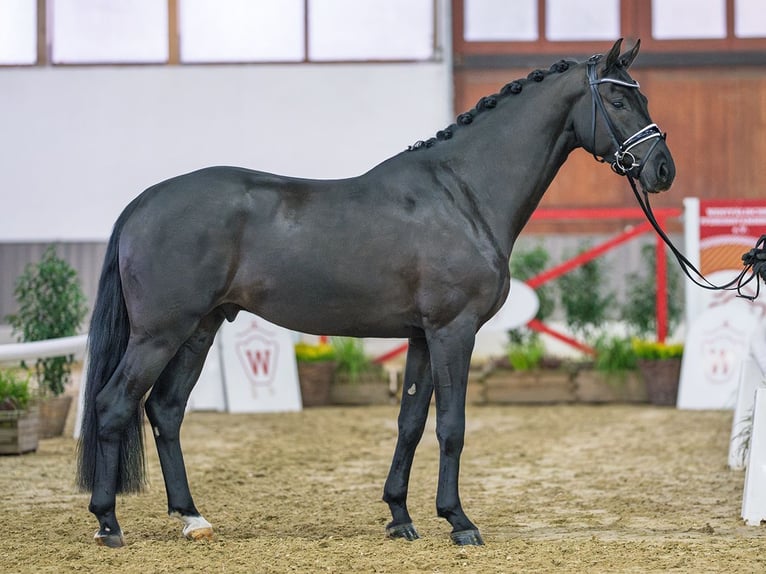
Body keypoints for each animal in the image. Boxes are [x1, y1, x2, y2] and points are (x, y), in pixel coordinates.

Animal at [76, 39, 675, 548]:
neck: (463, 194)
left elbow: (410, 423)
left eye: (642, 94)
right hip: (160, 333)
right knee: (114, 403)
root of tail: (144, 202)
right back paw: (107, 522)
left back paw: (191, 518)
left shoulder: (421, 337)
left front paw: (400, 517)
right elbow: (451, 426)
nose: (663, 170)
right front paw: (459, 521)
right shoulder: (453, 331)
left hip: (199, 329)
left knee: (165, 410)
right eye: (618, 98)